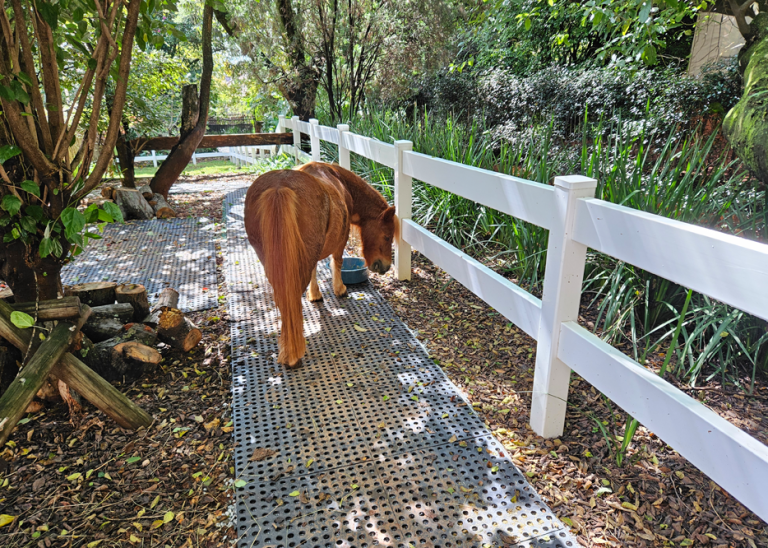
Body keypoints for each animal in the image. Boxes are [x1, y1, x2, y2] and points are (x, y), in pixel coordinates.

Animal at [243, 162, 399, 367]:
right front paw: (340, 289)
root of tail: (280, 188)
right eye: (388, 236)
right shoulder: (341, 238)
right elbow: (337, 261)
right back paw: (292, 355)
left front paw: (315, 295)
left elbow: (314, 270)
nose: (386, 267)